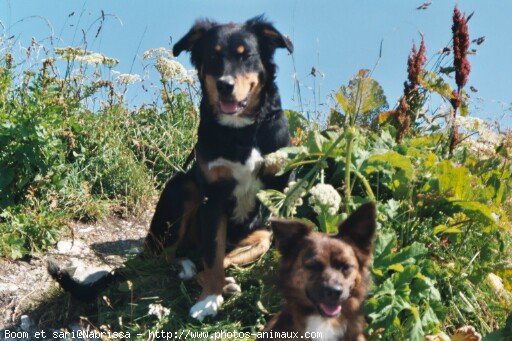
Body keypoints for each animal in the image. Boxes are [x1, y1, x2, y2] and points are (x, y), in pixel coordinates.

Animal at [50, 15, 294, 322]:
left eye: (246, 55)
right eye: (212, 56)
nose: (225, 85)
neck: (241, 131)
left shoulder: (279, 188)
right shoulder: (213, 197)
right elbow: (212, 256)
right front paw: (209, 300)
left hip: (260, 231)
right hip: (183, 186)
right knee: (170, 256)